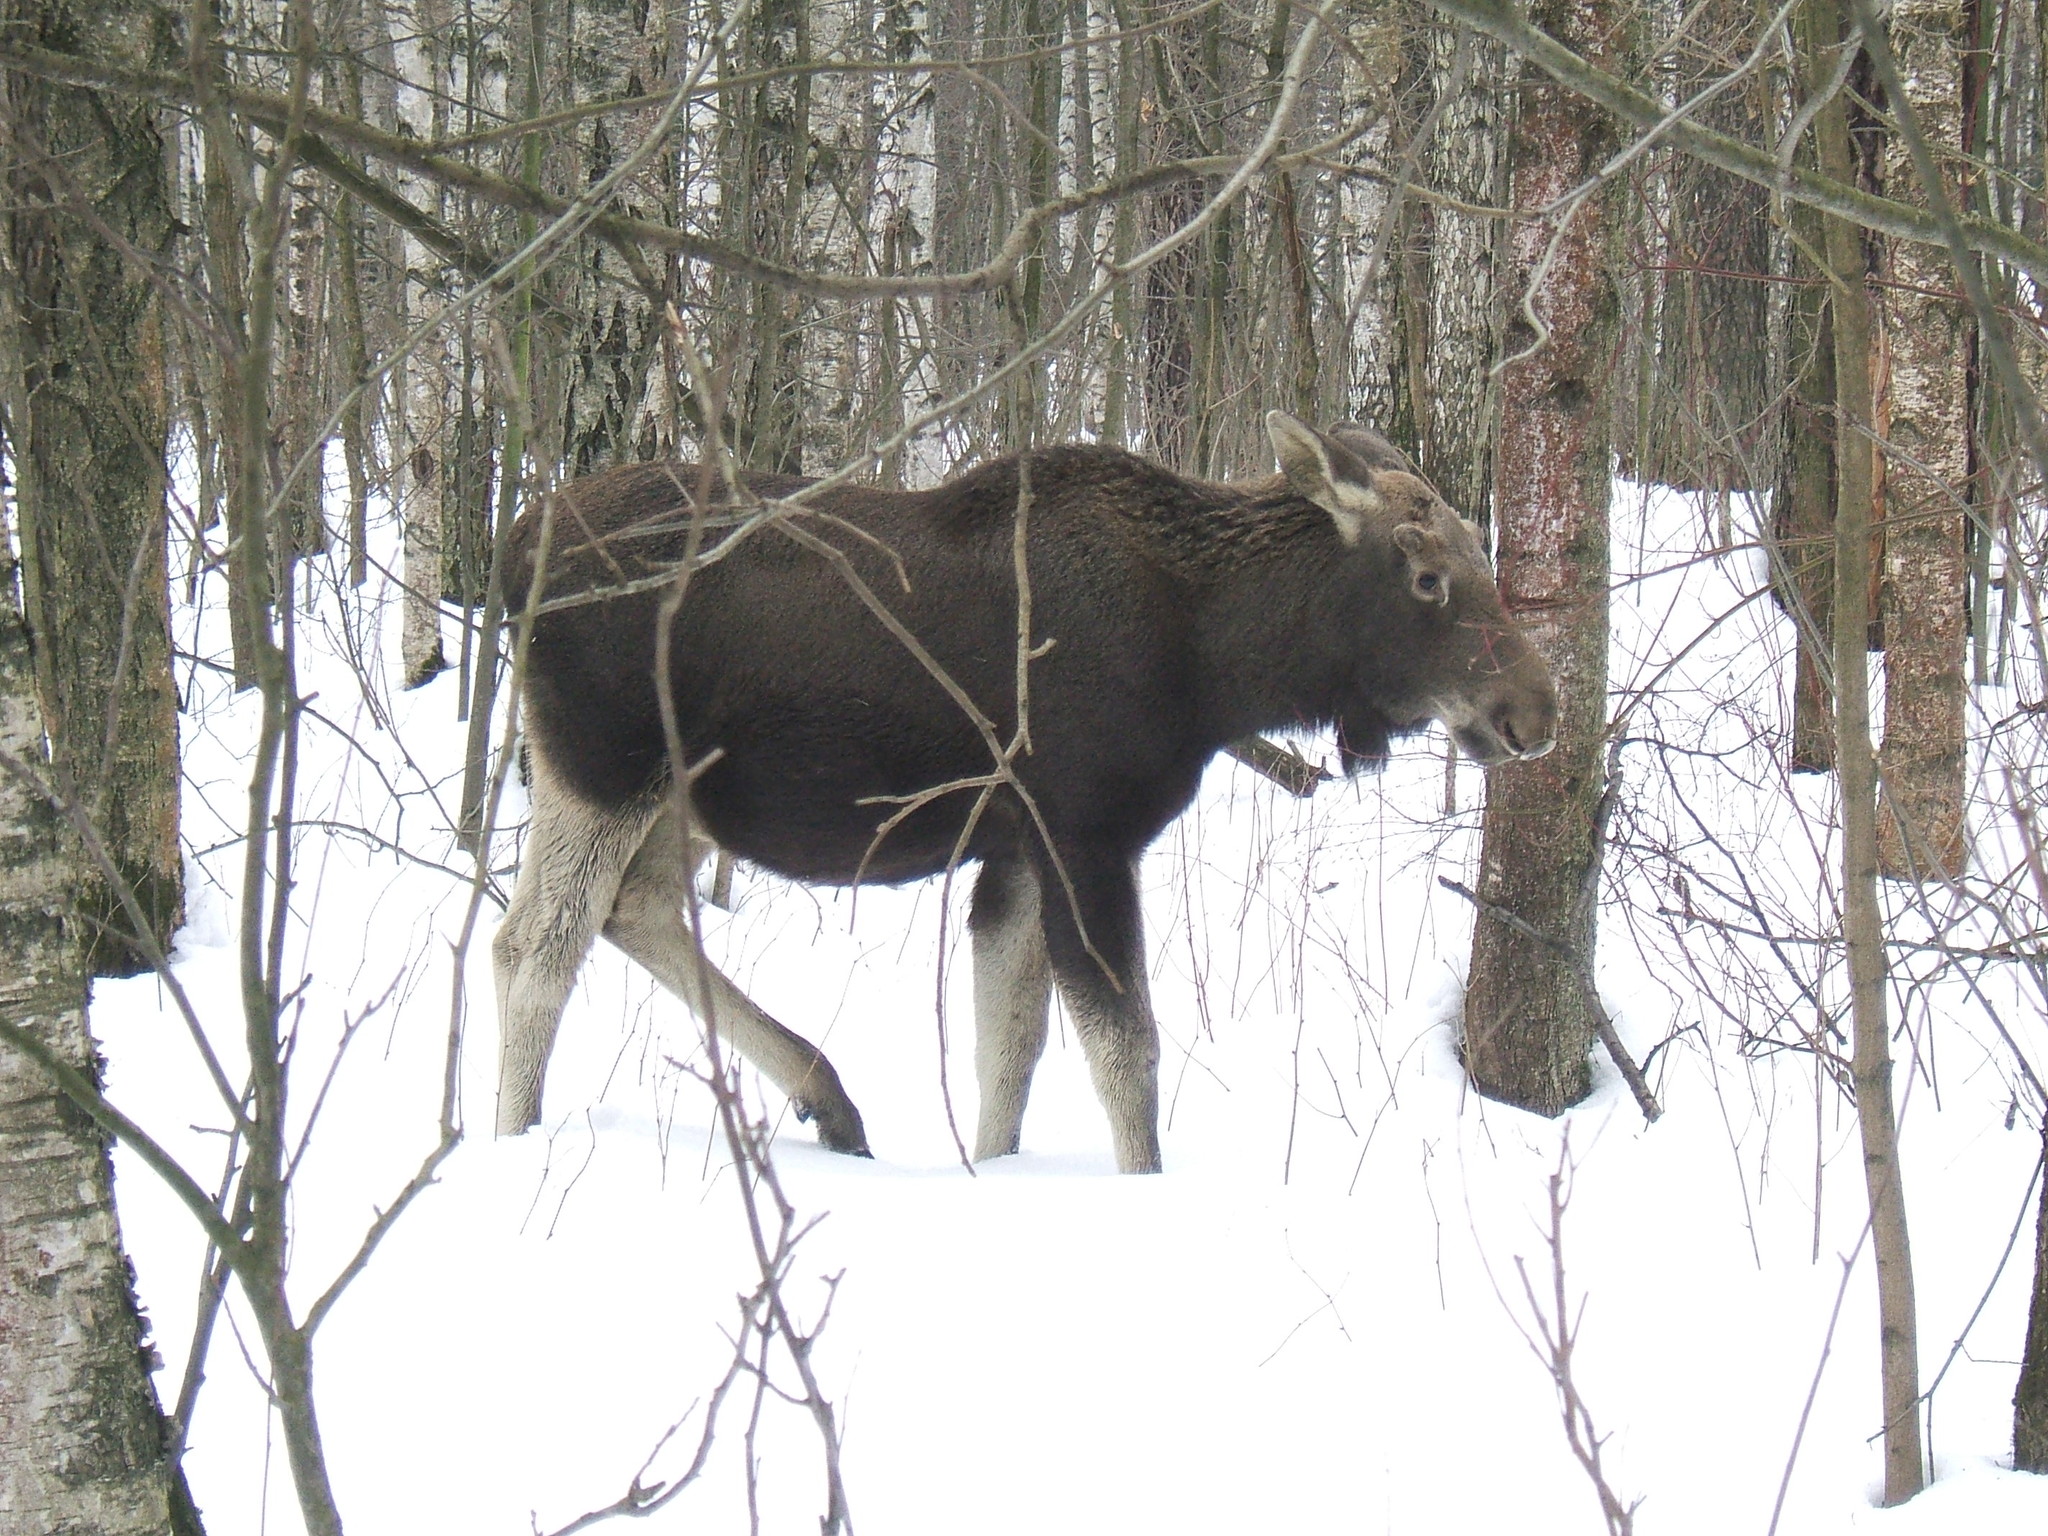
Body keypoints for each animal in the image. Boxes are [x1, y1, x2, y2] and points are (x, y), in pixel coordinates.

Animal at [491, 415, 1548, 1171]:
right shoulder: (1083, 834)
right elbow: (1125, 1051)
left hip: (671, 799)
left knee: (618, 913)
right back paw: (513, 1140)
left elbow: (1011, 1046)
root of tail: (512, 548)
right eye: (1425, 574)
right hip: (604, 767)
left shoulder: (1014, 849)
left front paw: (991, 1171)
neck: (1216, 663)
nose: (1532, 712)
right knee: (535, 946)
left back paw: (826, 1096)